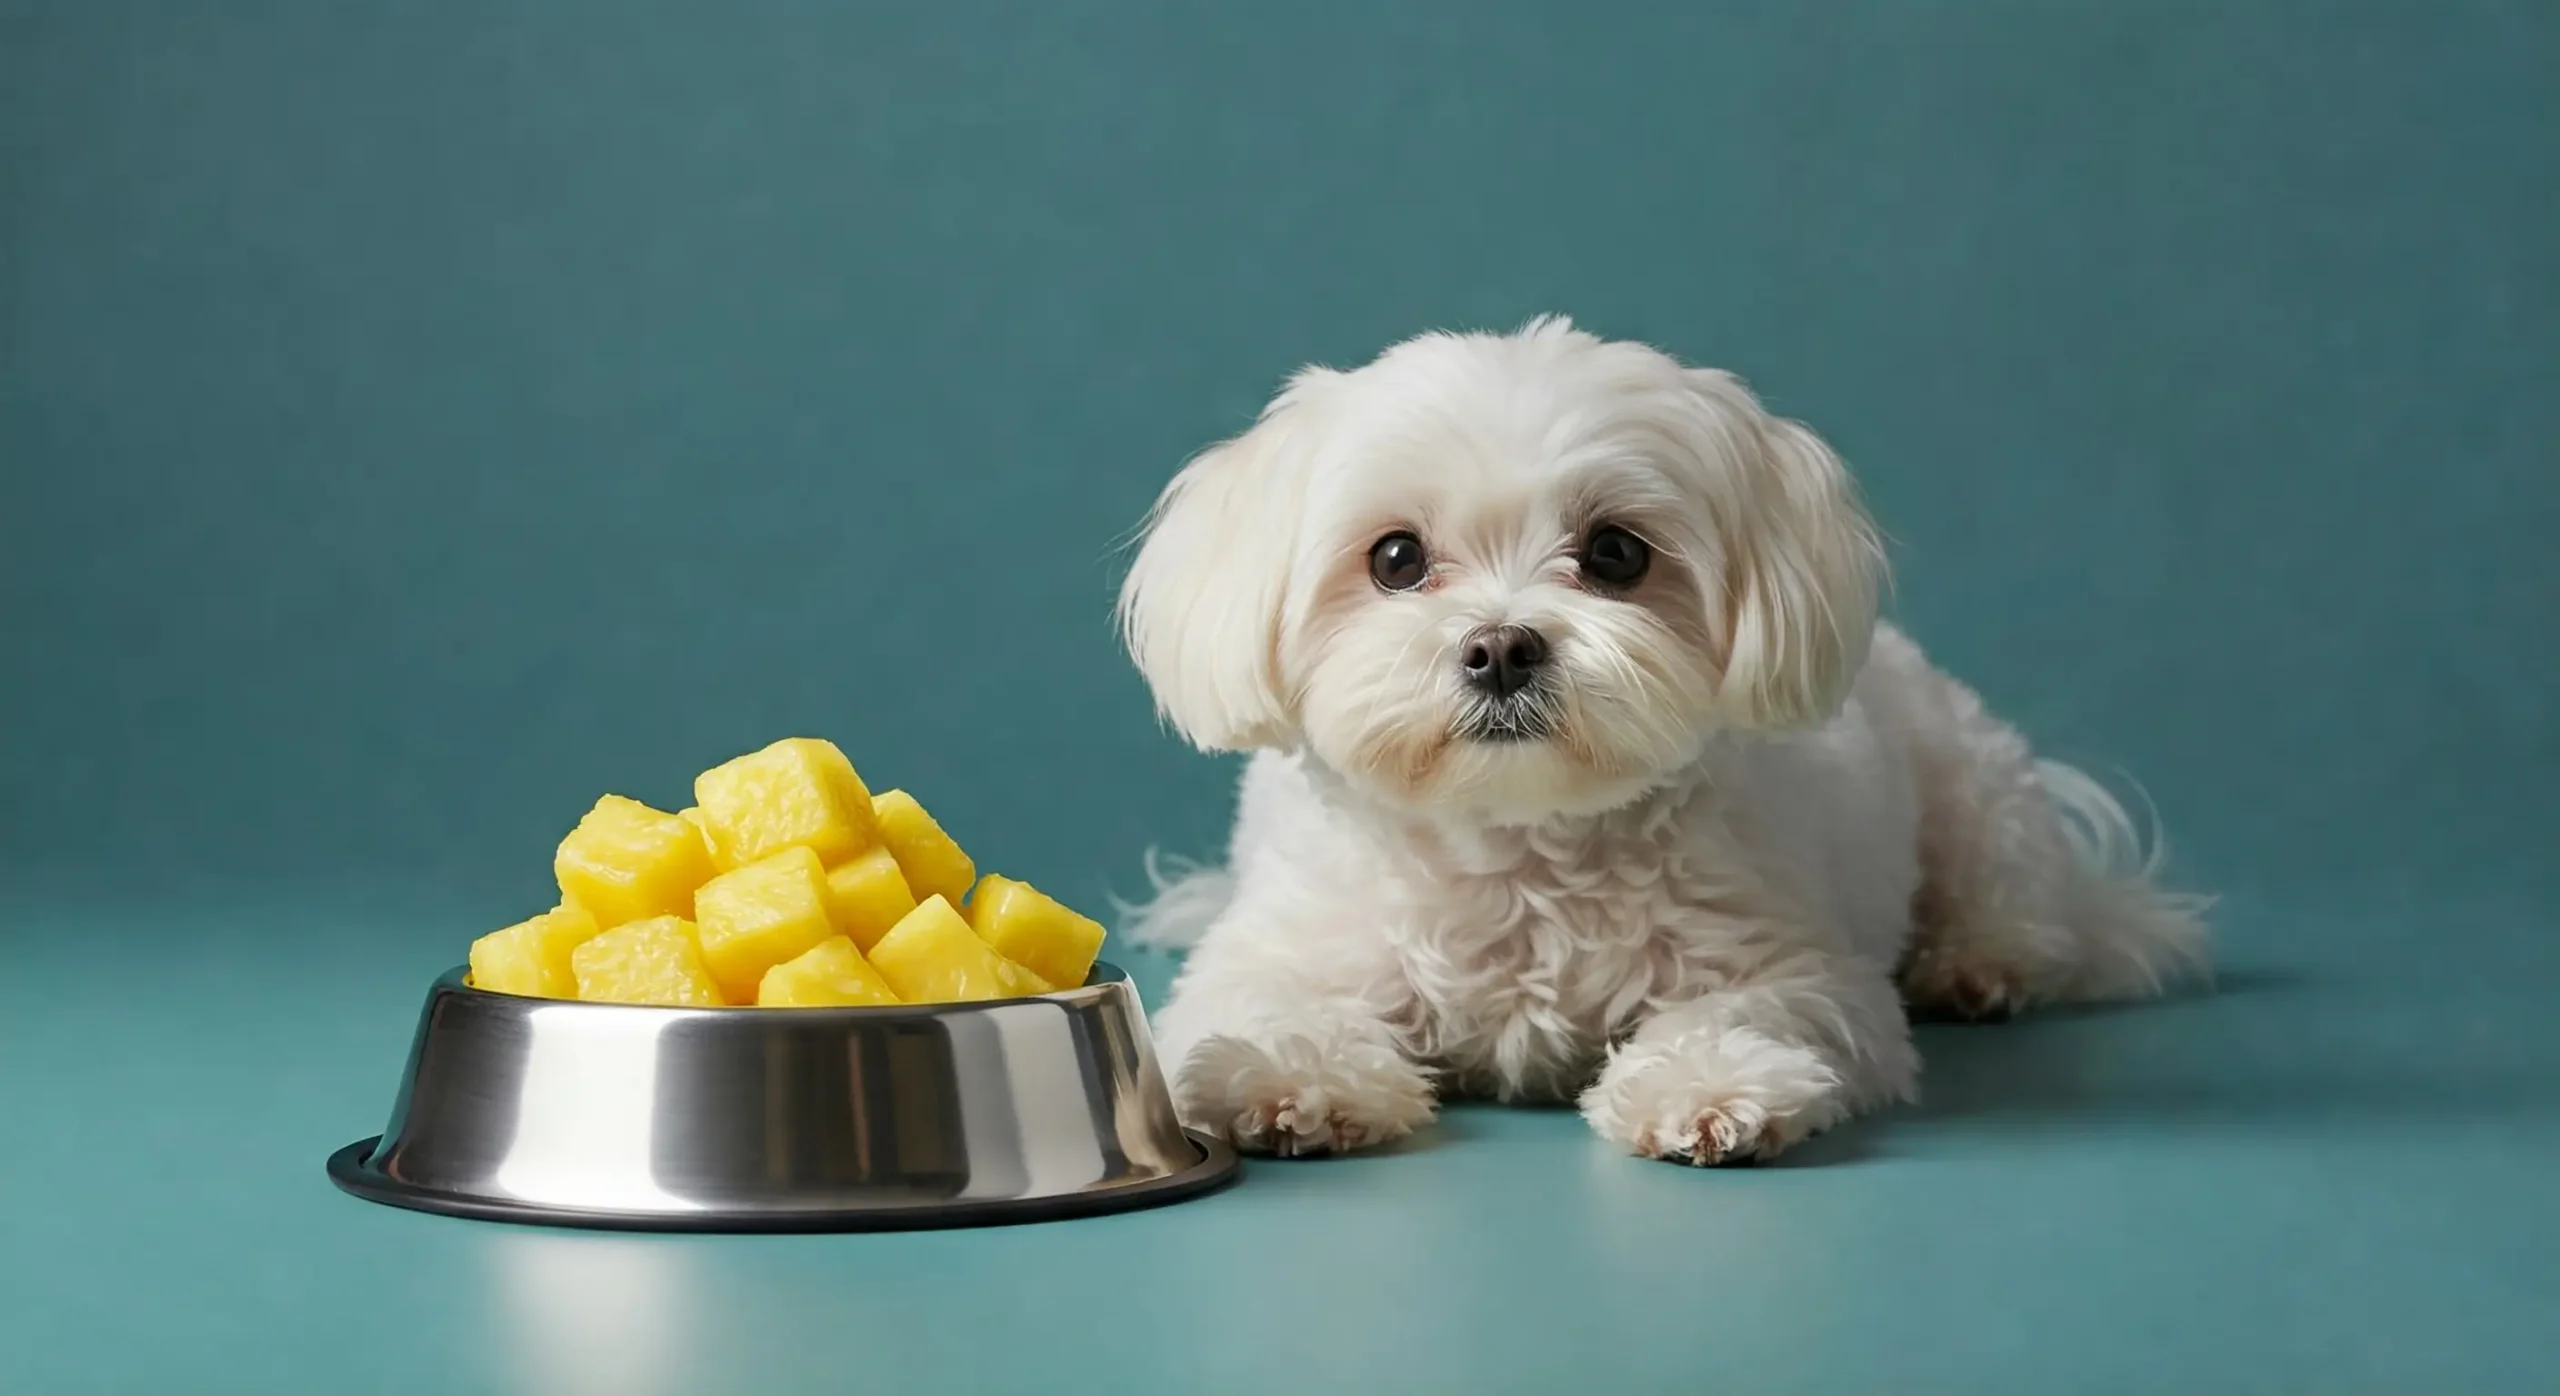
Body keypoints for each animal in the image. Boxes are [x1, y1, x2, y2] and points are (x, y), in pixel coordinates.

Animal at [1111, 318, 2211, 1162]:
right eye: (1394, 558)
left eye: (1614, 553)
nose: (1502, 648)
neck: (1521, 848)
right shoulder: (1278, 952)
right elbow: (1265, 1006)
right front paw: (1292, 1081)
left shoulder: (1804, 970)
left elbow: (1742, 1010)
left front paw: (1705, 1085)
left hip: (1975, 792)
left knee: (2016, 905)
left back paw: (1981, 965)